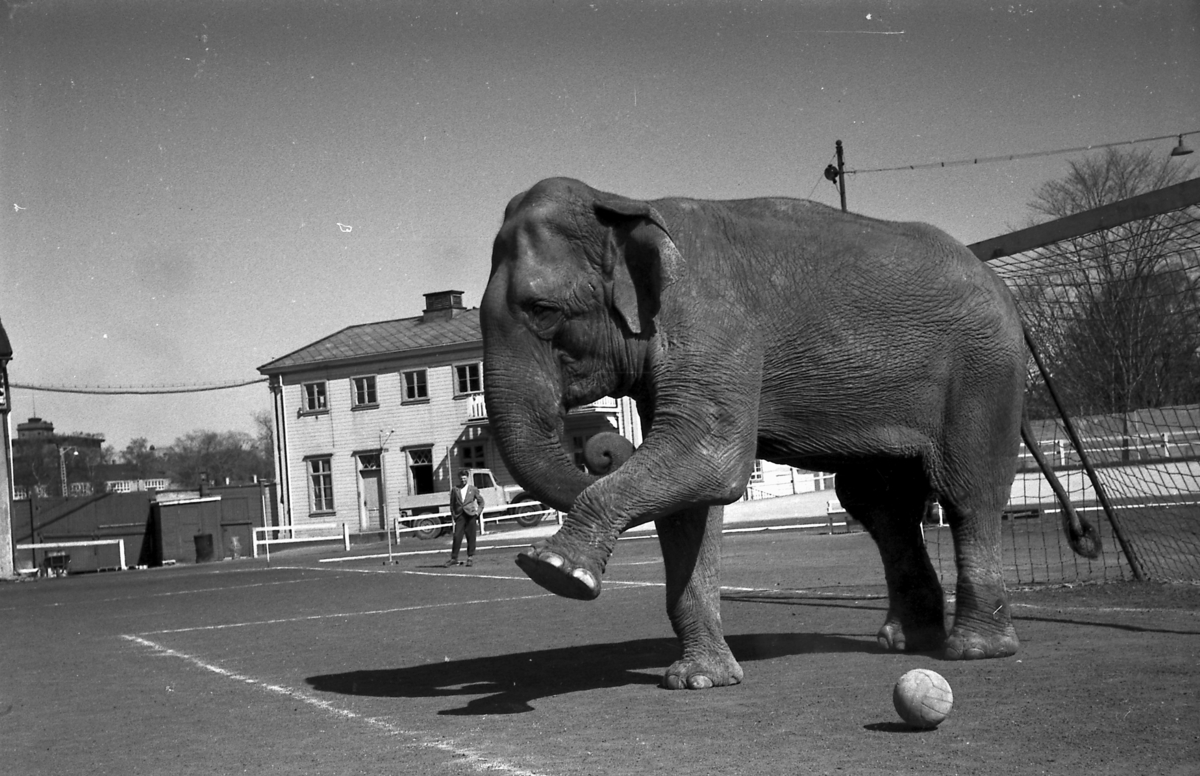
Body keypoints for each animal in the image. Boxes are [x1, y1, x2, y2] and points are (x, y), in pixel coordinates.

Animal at [480, 177, 1099, 690]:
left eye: (542, 310)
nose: (606, 449)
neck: (626, 201)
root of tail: (999, 283)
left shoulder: (716, 324)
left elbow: (712, 460)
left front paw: (554, 572)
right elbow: (690, 503)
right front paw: (699, 681)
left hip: (982, 373)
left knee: (967, 493)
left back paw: (973, 651)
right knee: (881, 506)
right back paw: (905, 643)